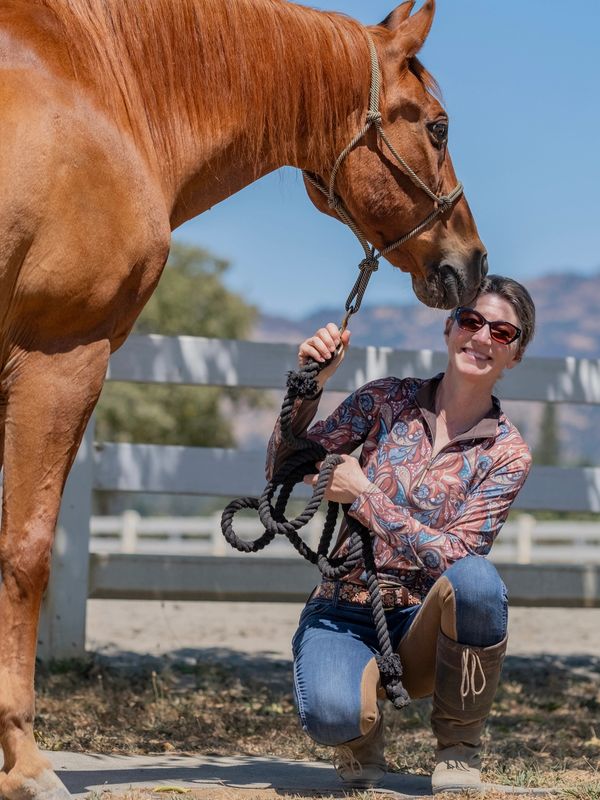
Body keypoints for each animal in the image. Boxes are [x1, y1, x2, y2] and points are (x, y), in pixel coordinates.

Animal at [0, 0, 486, 797]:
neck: (102, 89)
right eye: (438, 127)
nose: (471, 264)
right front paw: (28, 762)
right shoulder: (59, 357)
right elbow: (28, 549)